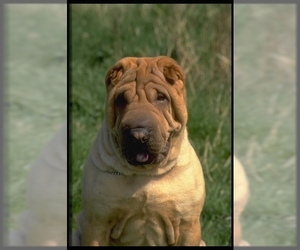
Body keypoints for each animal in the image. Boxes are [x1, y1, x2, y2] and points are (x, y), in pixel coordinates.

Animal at [72, 55, 206, 245]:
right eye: (121, 99)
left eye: (161, 98)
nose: (138, 134)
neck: (146, 174)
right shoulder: (97, 223)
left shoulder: (188, 225)